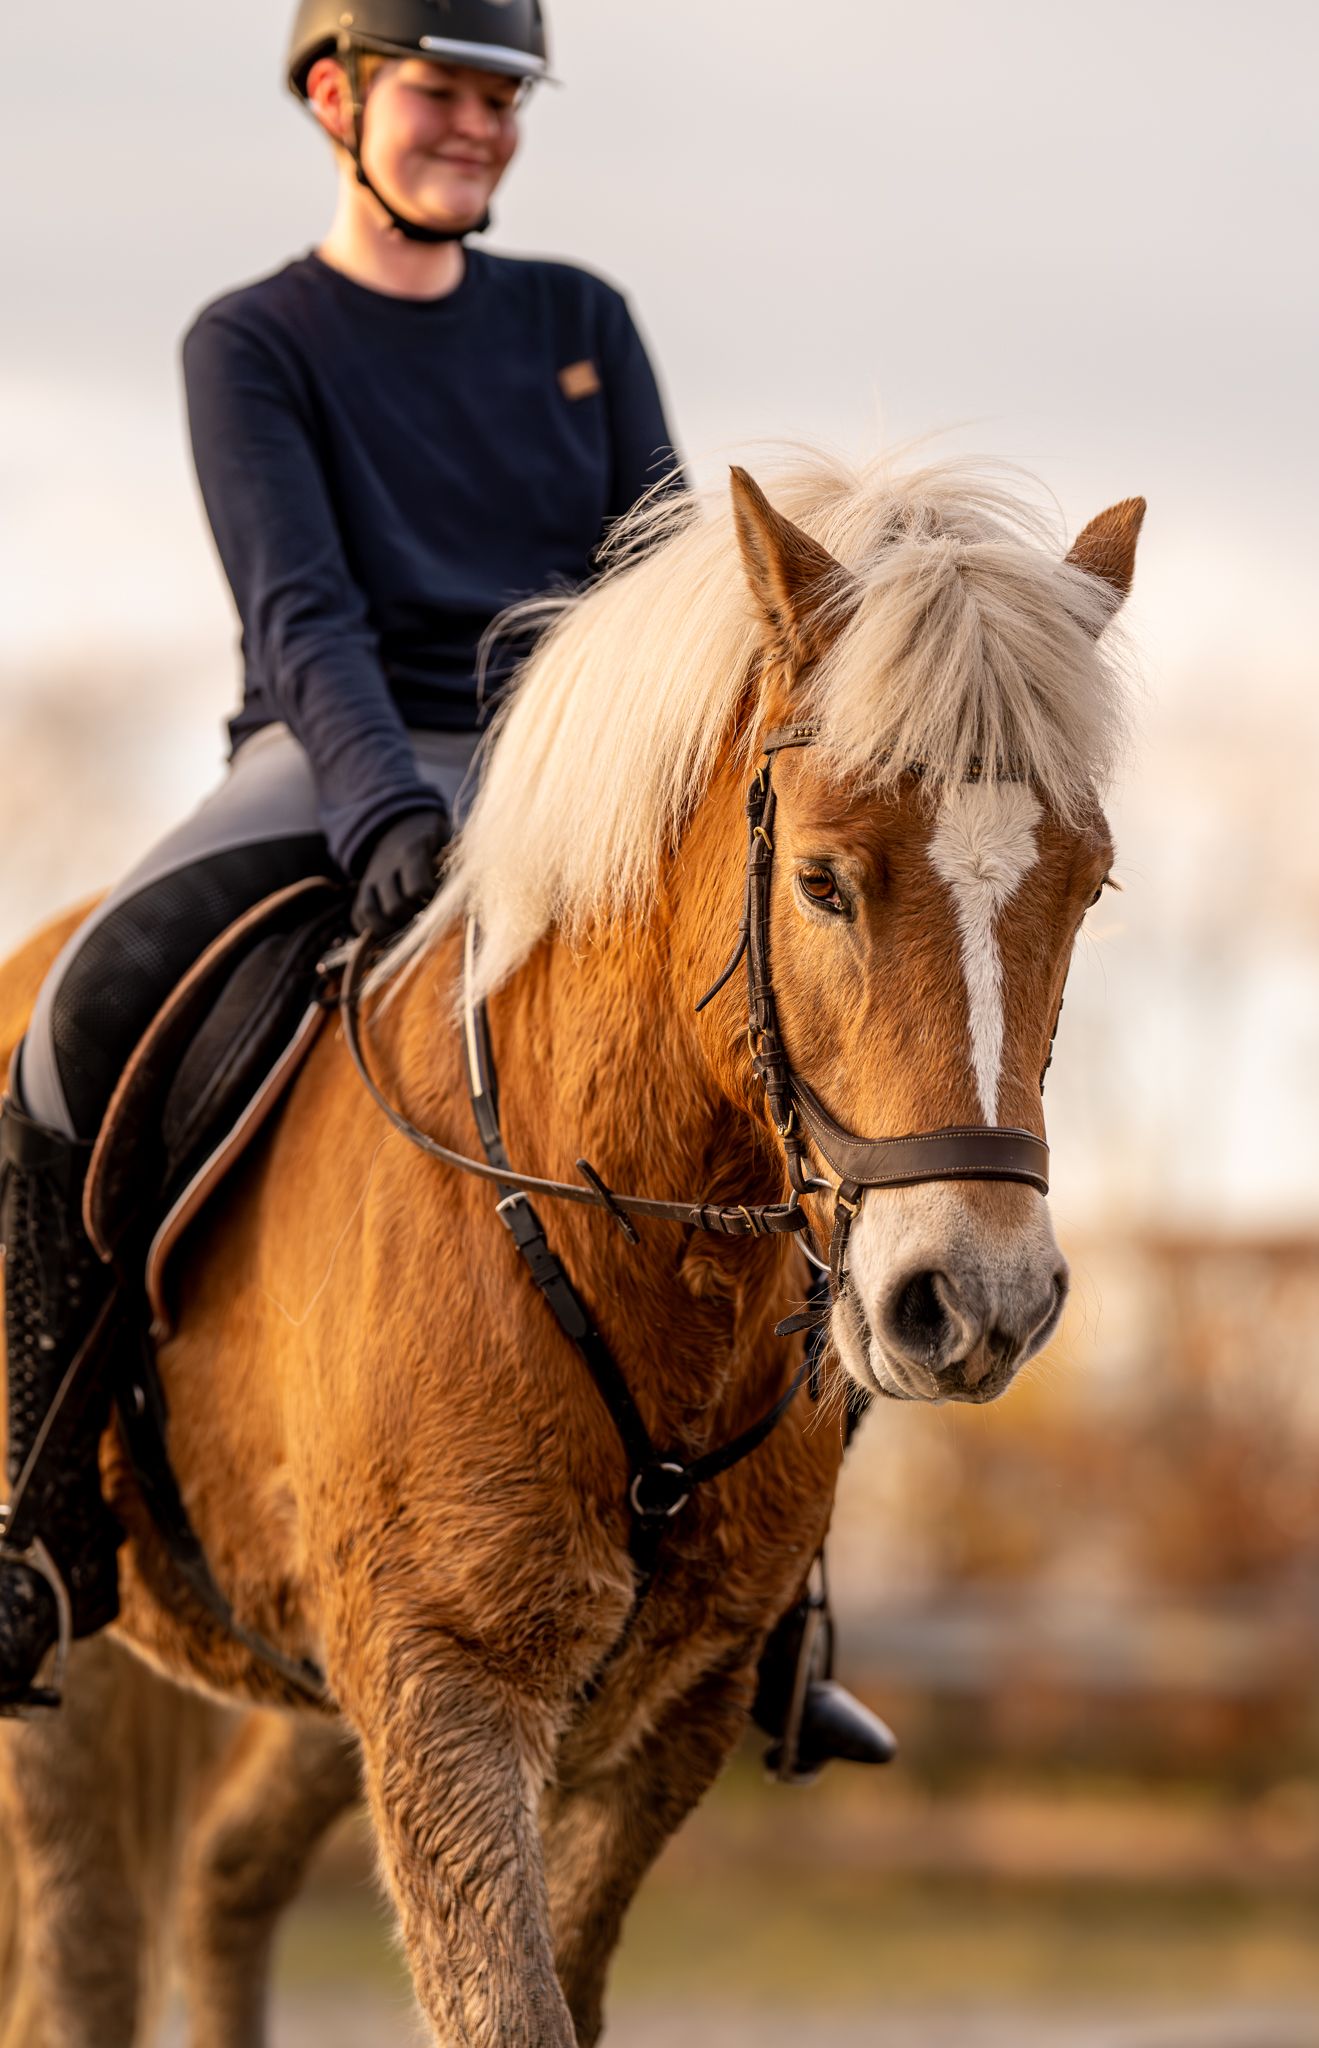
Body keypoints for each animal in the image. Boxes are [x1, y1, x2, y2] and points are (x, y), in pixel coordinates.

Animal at [0, 449, 1142, 2047]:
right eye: (821, 882)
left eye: (1085, 884)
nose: (975, 1299)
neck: (628, 1249)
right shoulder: (446, 1691)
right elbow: (510, 2012)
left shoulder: (659, 1723)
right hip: (88, 1675)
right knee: (87, 1961)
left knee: (223, 1876)